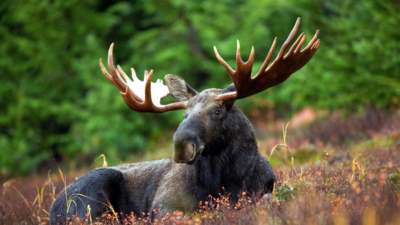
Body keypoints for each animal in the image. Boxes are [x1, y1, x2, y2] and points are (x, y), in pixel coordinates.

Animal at [50, 18, 320, 223]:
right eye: (184, 114)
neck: (226, 181)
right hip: (91, 192)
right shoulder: (163, 205)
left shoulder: (263, 191)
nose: (181, 146)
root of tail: (53, 208)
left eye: (217, 111)